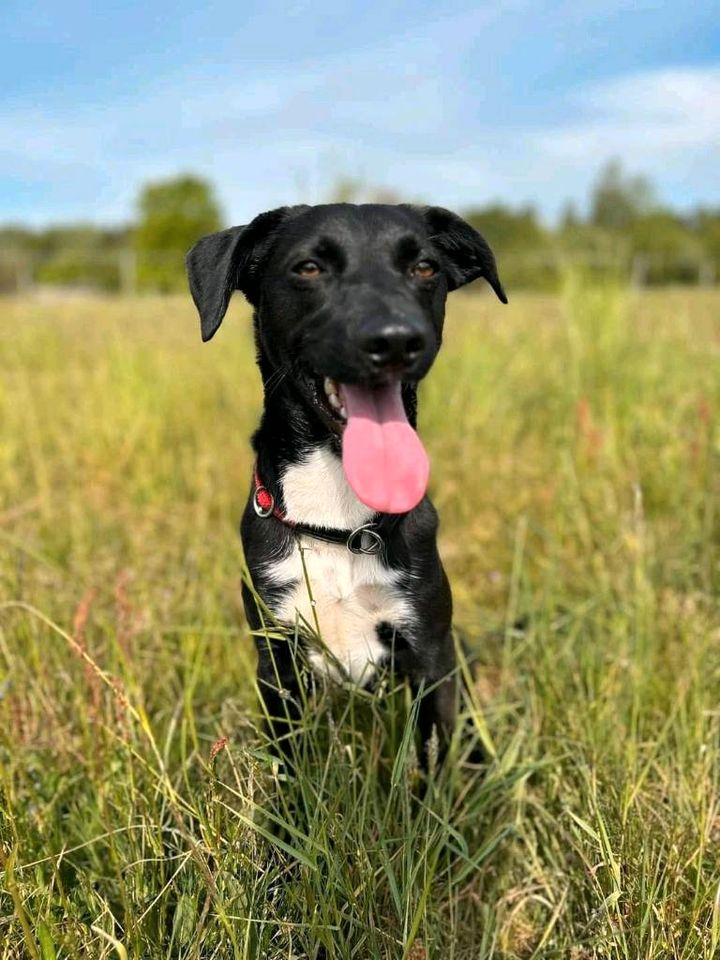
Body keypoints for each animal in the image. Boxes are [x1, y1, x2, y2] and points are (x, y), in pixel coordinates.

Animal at [186, 202, 506, 764]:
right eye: (309, 268)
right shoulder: (278, 659)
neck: (339, 520)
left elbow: (429, 765)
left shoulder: (428, 653)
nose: (396, 339)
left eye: (424, 267)